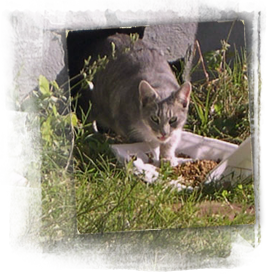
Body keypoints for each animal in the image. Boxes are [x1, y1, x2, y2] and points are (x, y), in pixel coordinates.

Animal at [88, 33, 191, 166]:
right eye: (154, 118)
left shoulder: (175, 132)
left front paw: (167, 159)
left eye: (173, 119)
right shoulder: (127, 128)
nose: (163, 133)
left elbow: (169, 143)